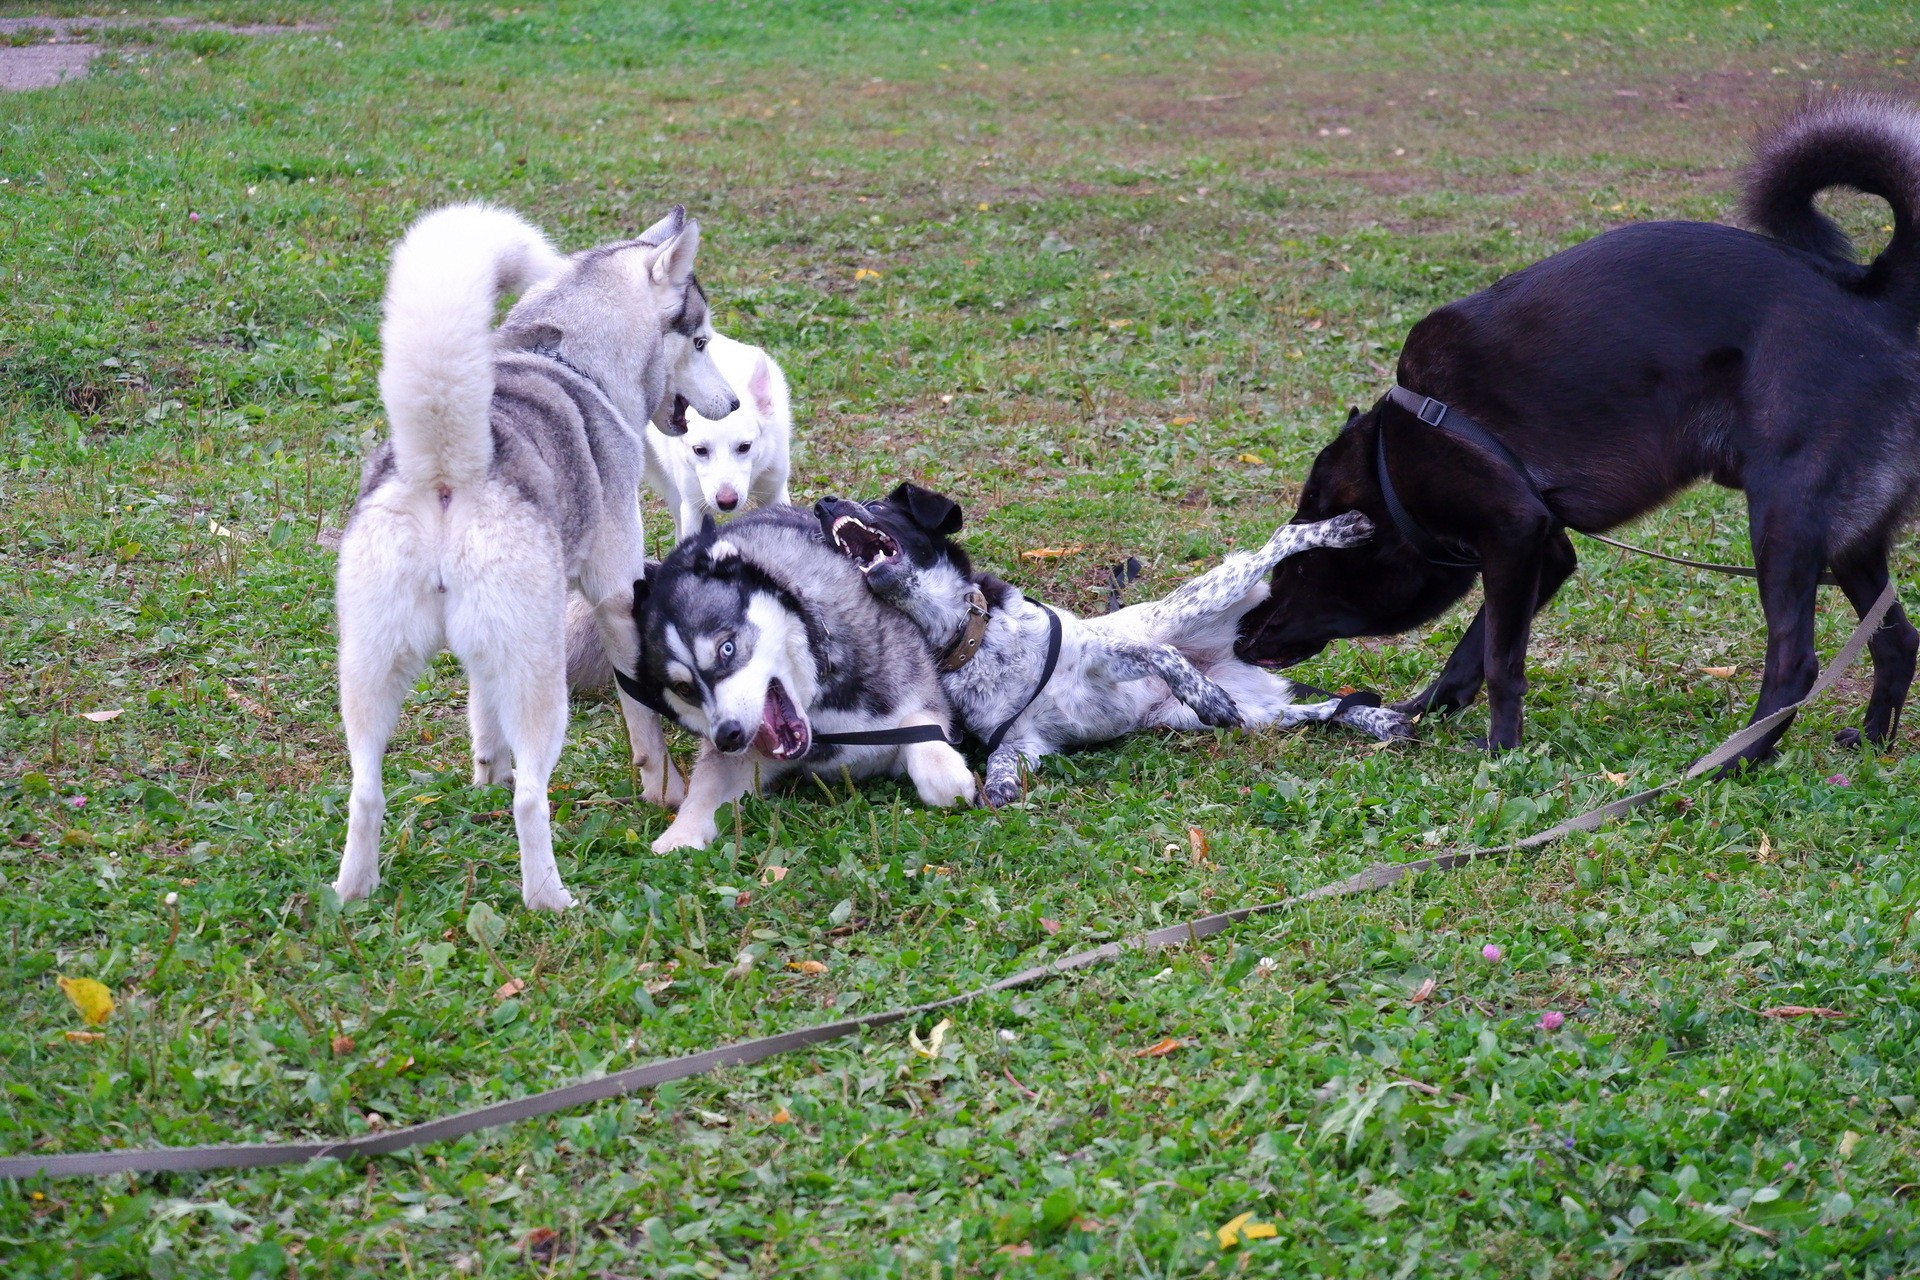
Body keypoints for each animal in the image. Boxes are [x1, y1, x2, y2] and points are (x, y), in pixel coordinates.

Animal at [332, 205, 733, 909]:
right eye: (704, 342)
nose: (735, 402)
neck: (573, 356)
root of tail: (448, 471)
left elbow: (481, 713)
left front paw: (484, 774)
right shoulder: (616, 598)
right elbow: (642, 715)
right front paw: (664, 790)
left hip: (370, 673)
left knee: (365, 792)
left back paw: (355, 890)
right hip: (541, 680)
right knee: (530, 800)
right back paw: (549, 897)